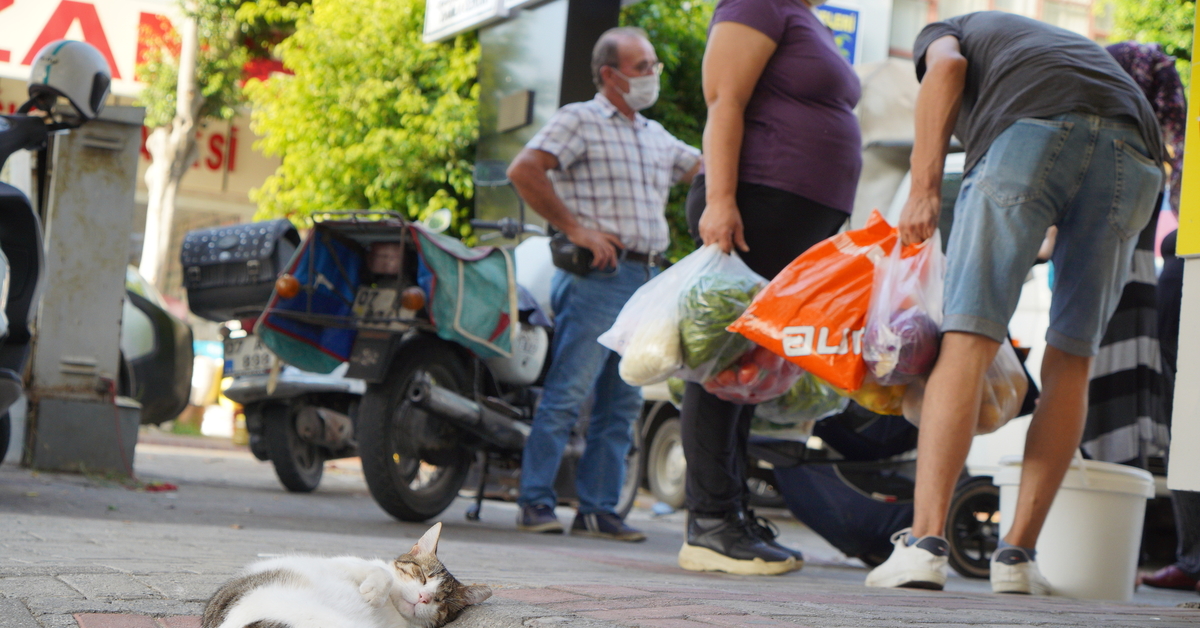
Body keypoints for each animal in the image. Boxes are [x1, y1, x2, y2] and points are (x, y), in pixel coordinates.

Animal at [201, 521, 492, 628]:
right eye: (422, 575)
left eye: (441, 602)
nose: (424, 597)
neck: (393, 614)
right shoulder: (346, 563)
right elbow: (381, 572)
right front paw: (374, 592)